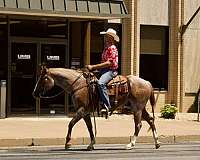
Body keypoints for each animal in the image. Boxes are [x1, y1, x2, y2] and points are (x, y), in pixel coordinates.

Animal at [32, 66, 161, 150]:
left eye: (43, 78)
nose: (34, 93)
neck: (78, 85)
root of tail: (147, 83)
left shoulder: (81, 110)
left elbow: (71, 123)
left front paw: (67, 143)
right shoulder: (86, 113)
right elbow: (90, 128)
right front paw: (91, 144)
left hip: (137, 108)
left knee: (138, 124)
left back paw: (131, 144)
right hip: (141, 108)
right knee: (150, 120)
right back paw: (157, 142)